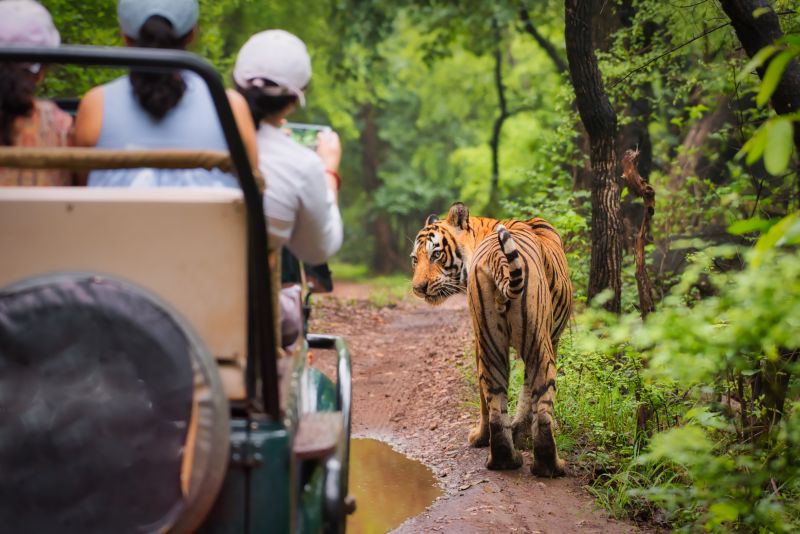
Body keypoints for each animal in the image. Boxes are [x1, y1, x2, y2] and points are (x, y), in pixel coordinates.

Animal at [411, 202, 573, 477]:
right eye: (415, 259)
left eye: (436, 255)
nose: (418, 288)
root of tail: (499, 256)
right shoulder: (553, 337)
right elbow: (528, 392)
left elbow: (504, 392)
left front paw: (504, 435)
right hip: (538, 345)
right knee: (541, 407)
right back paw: (548, 466)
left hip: (491, 343)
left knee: (495, 401)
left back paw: (504, 458)